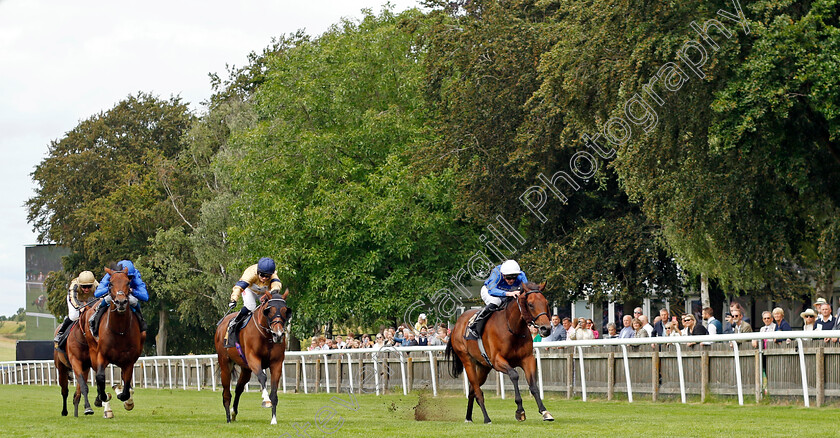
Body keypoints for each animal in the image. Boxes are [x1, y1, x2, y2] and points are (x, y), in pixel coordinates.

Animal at [81, 266, 146, 418]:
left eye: (128, 283)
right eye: (110, 283)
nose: (121, 302)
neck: (119, 330)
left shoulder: (129, 359)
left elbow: (127, 384)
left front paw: (125, 398)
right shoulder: (101, 354)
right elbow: (100, 377)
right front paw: (104, 397)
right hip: (92, 350)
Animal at [213, 290, 292, 424]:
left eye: (285, 310)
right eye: (269, 310)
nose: (278, 334)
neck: (266, 336)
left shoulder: (276, 363)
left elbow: (274, 392)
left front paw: (273, 419)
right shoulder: (253, 359)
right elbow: (262, 377)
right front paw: (266, 400)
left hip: (246, 369)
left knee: (239, 388)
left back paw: (233, 413)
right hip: (225, 363)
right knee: (226, 392)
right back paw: (228, 418)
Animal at [442, 282, 556, 422]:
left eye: (546, 302)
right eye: (530, 304)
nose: (546, 329)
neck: (513, 329)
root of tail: (456, 325)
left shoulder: (527, 358)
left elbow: (533, 385)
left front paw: (545, 411)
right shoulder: (497, 361)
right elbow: (514, 375)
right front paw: (520, 410)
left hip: (483, 367)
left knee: (472, 389)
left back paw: (468, 417)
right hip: (467, 361)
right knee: (477, 390)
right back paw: (486, 418)